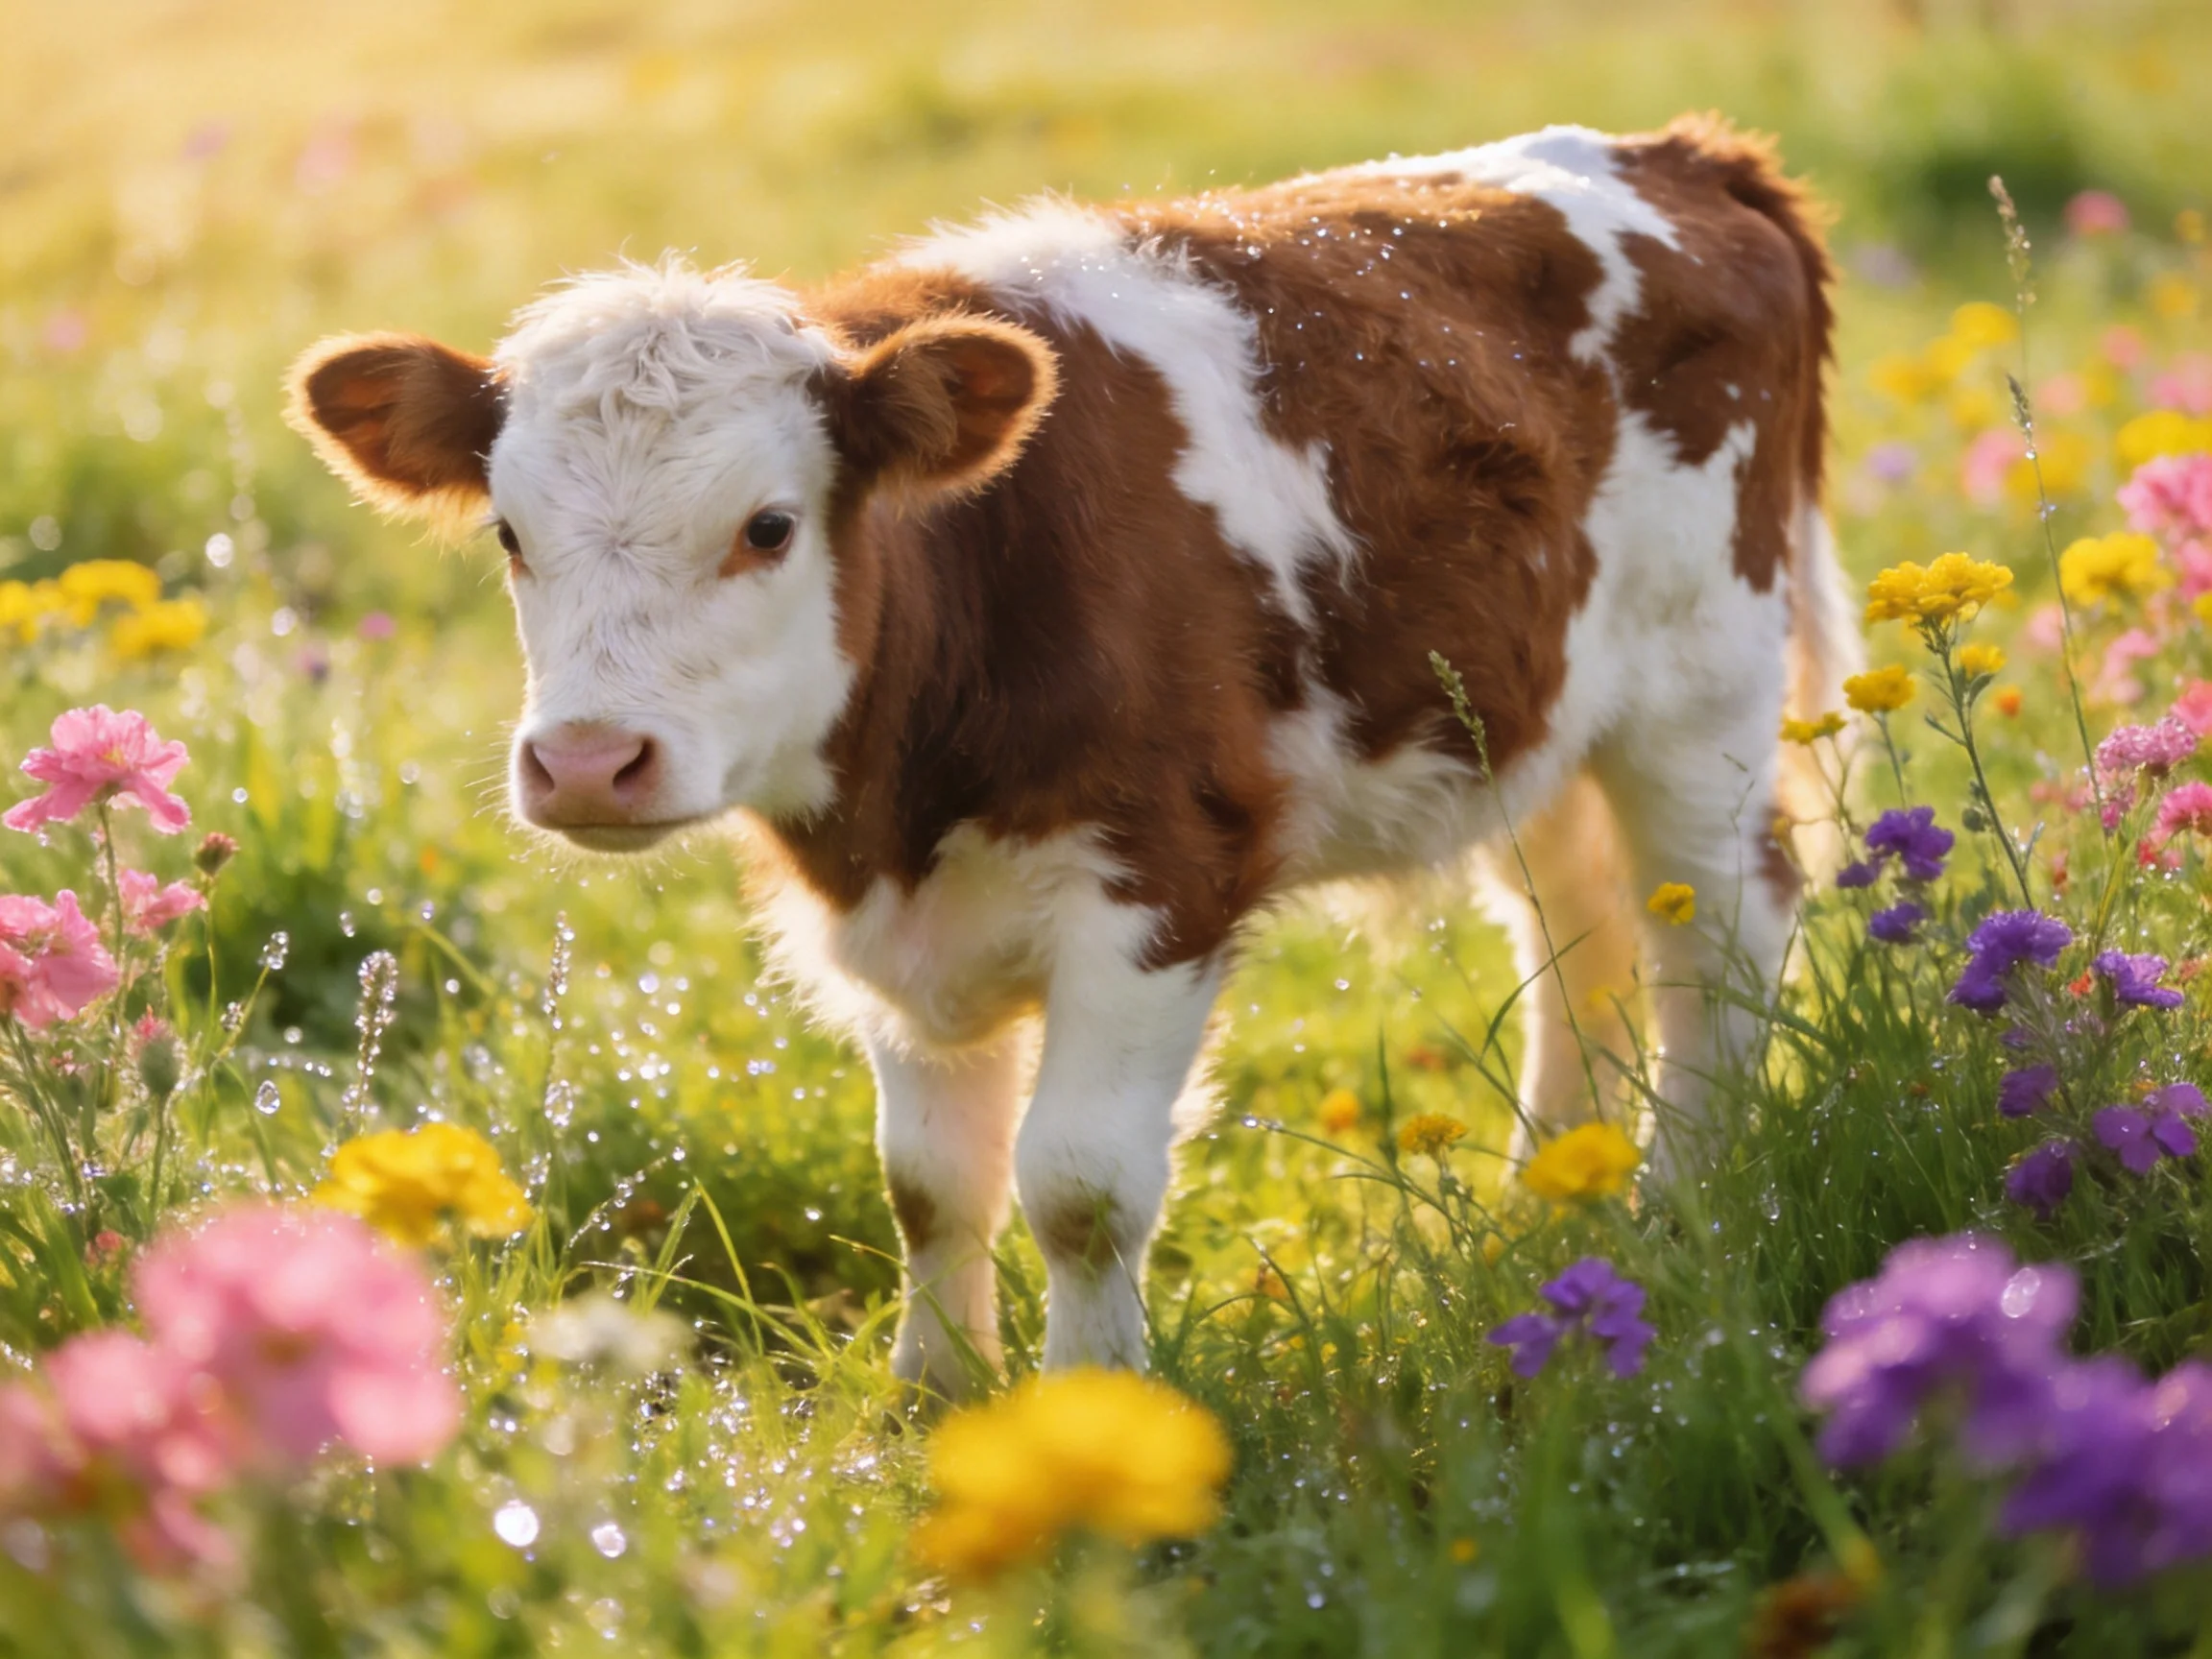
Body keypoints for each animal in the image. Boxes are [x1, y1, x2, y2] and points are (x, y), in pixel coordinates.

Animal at [287, 115, 1858, 1398]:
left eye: (769, 526)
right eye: (509, 534)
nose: (589, 761)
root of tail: (1686, 154)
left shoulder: (1167, 876)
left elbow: (1078, 1184)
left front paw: (1092, 1401)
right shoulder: (902, 922)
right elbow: (929, 1181)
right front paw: (936, 1392)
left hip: (1702, 692)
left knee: (1720, 927)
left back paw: (1681, 1205)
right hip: (1537, 717)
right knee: (1581, 933)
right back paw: (1553, 1202)